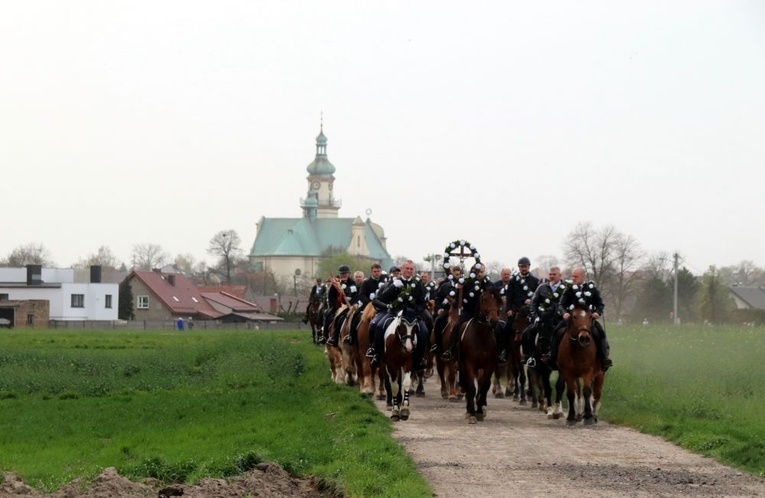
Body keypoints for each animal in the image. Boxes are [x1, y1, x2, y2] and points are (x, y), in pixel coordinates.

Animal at [456, 288, 504, 424]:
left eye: (498, 300)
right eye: (484, 299)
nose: (493, 320)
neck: (481, 336)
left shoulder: (489, 365)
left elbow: (484, 387)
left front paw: (480, 411)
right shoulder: (469, 365)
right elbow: (471, 387)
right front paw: (471, 413)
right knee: (468, 386)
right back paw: (469, 409)